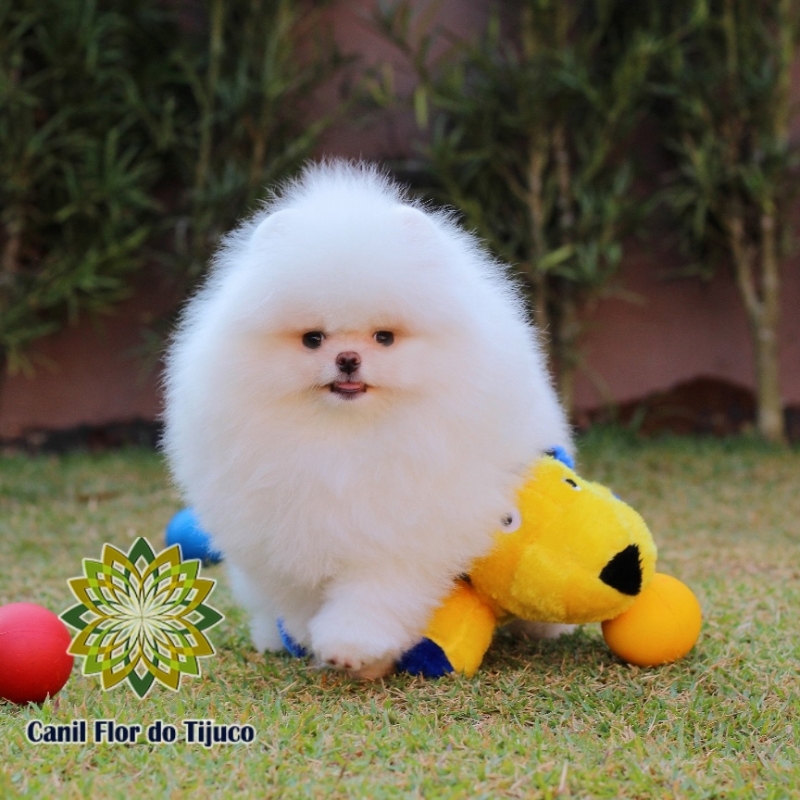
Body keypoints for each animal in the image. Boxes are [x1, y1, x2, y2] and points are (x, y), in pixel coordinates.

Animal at [164, 161, 576, 676]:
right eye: (313, 339)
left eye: (384, 337)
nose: (347, 359)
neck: (346, 436)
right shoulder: (281, 531)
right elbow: (300, 594)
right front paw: (311, 637)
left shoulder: (409, 524)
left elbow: (376, 592)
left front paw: (352, 645)